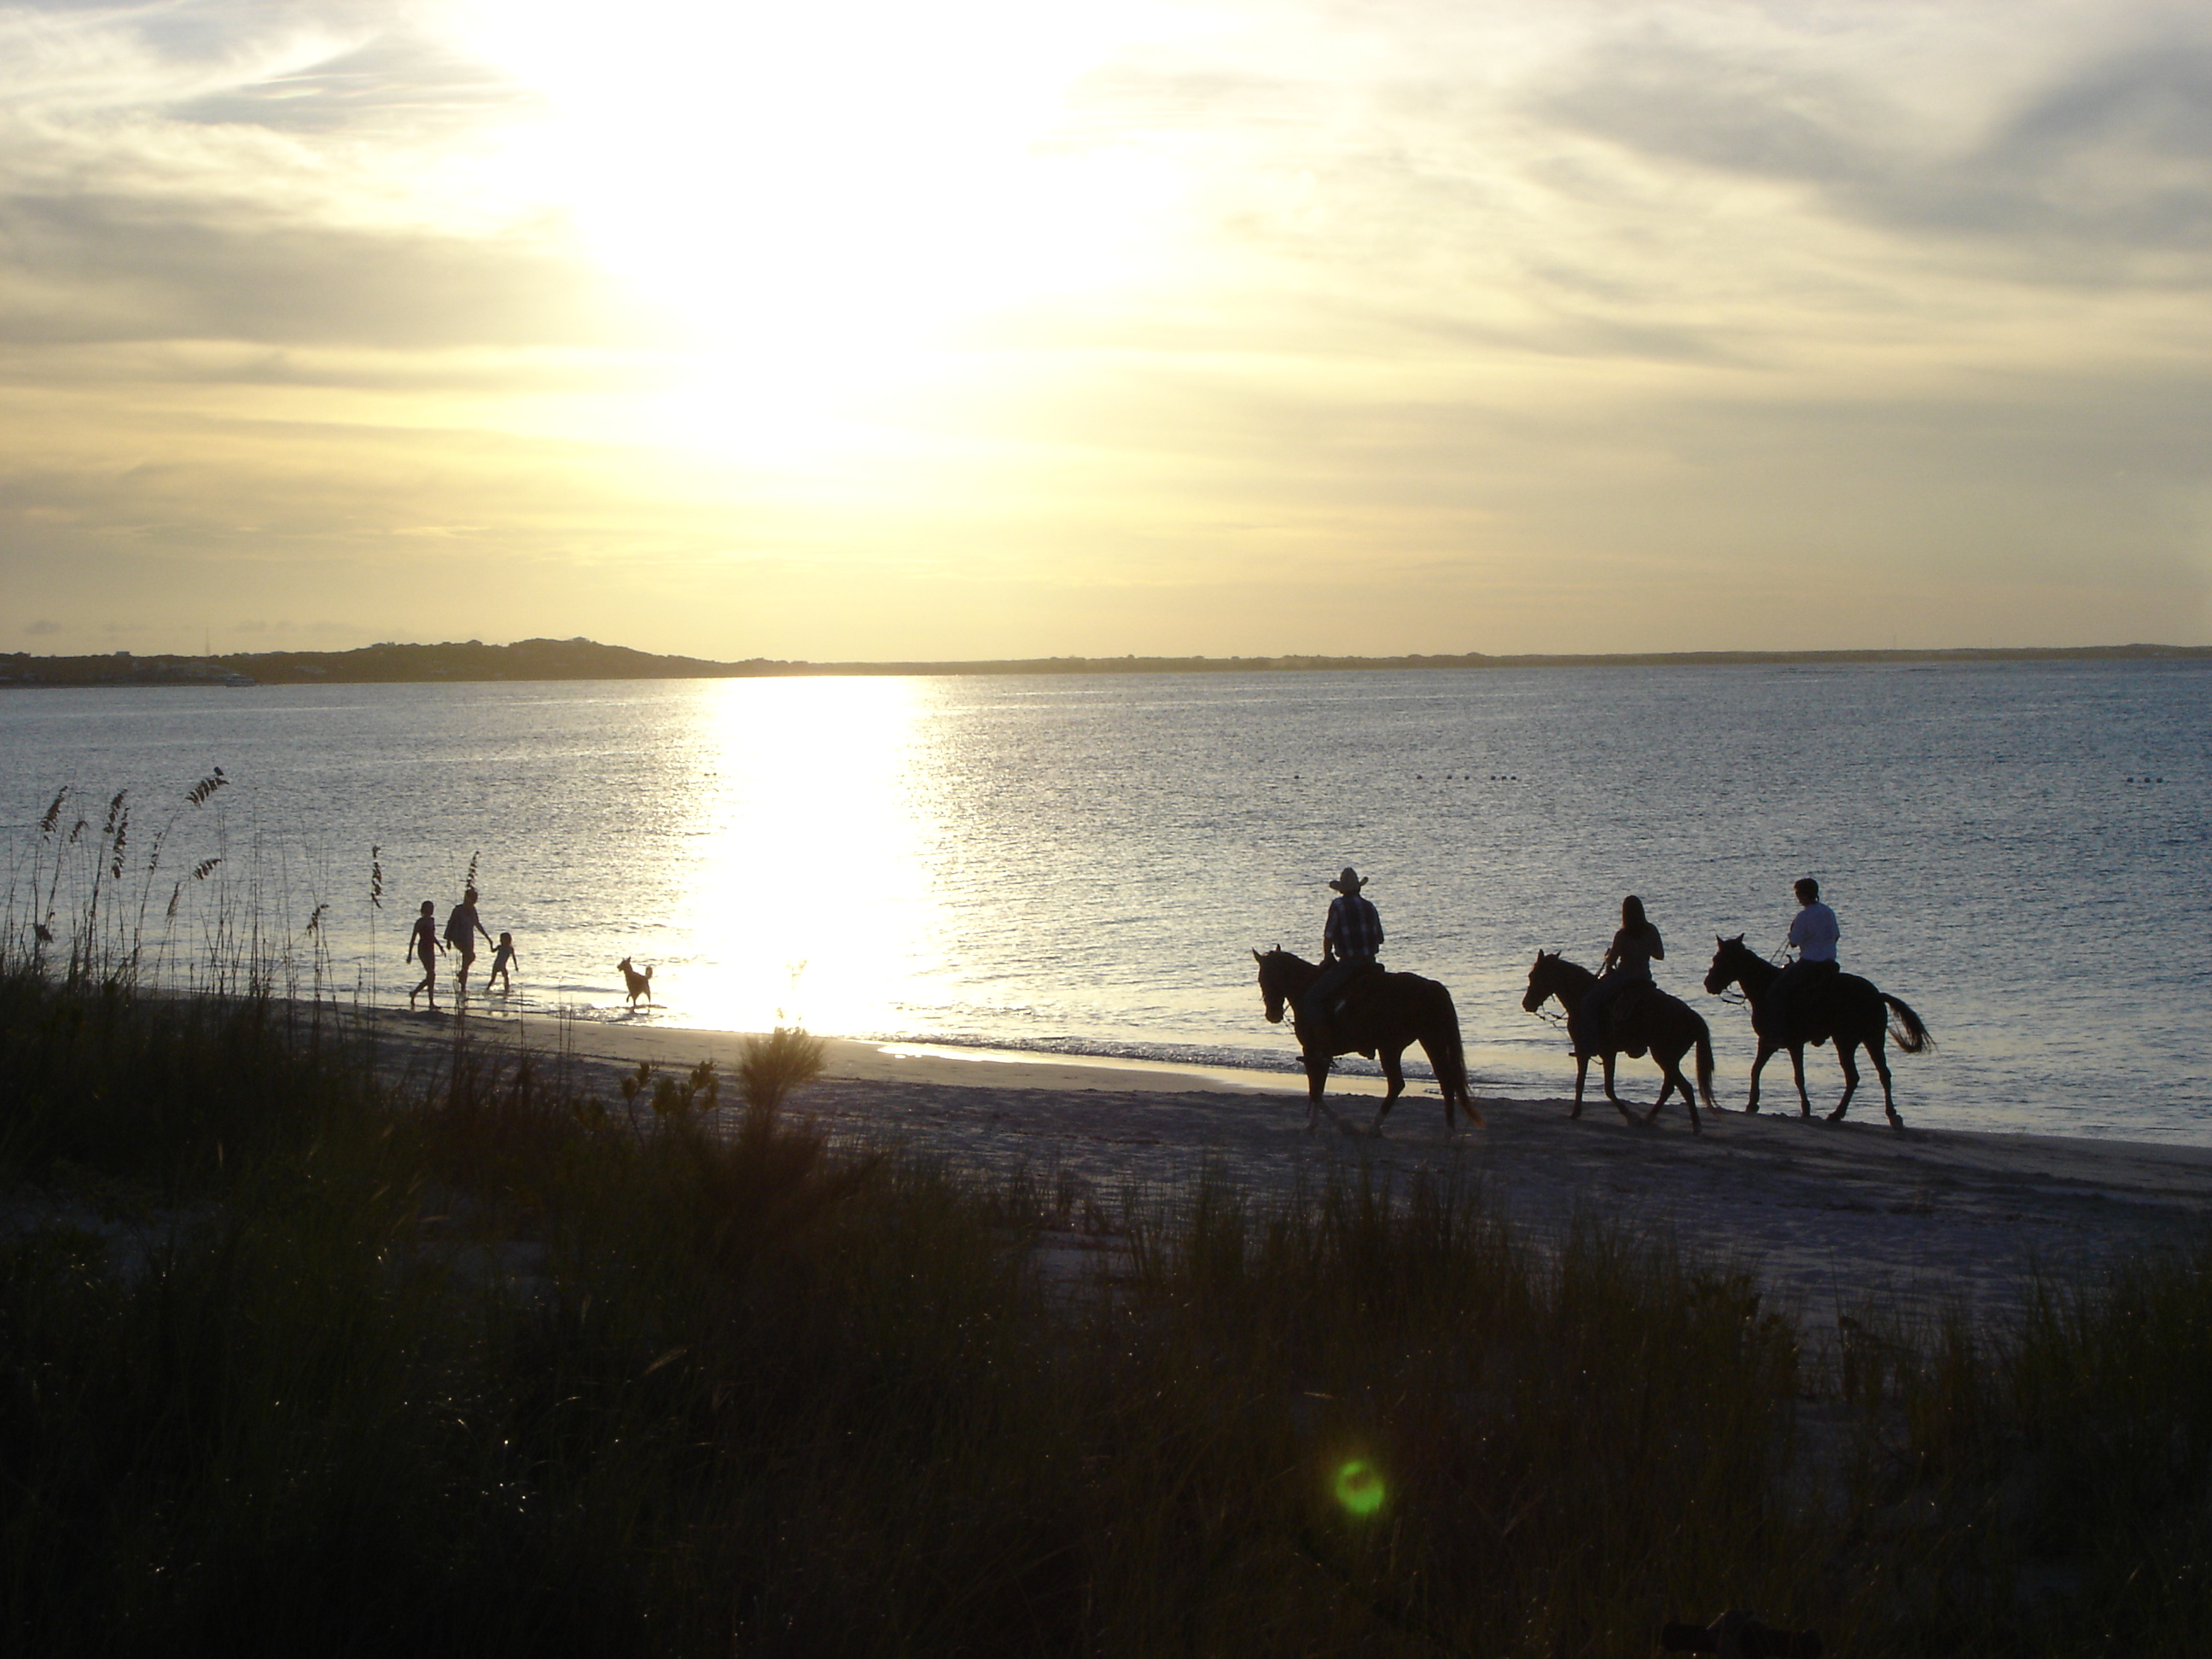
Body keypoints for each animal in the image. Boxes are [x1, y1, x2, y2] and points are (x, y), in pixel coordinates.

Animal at [1256, 955, 1477, 1141]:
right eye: (1261, 980)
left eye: (1267, 978)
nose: (1272, 1014)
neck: (1306, 986)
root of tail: (1431, 987)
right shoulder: (1321, 1054)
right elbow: (1318, 1087)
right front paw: (1313, 1125)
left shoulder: (1311, 1051)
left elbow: (1315, 1091)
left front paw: (1344, 1126)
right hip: (1428, 1041)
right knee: (1444, 1080)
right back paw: (1447, 1131)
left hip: (1394, 1047)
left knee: (1399, 1084)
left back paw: (1375, 1127)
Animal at [1530, 955, 1716, 1141]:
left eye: (1533, 976)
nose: (1527, 1003)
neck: (1581, 995)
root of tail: (1693, 1016)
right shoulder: (1602, 1053)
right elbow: (1589, 1084)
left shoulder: (1595, 1052)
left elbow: (1599, 1086)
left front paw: (1628, 1116)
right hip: (1670, 1059)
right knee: (1670, 1088)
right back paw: (1649, 1120)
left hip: (1664, 1057)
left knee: (1685, 1088)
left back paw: (1695, 1127)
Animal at [1698, 938, 1929, 1132]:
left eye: (1719, 959)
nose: (1708, 984)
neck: (1765, 986)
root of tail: (1877, 995)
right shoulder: (1775, 1043)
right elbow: (1758, 1069)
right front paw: (1754, 1103)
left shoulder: (1782, 1042)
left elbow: (1793, 1076)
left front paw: (1801, 1108)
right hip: (1872, 1040)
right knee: (1882, 1075)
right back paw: (1891, 1116)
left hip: (1846, 1042)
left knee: (1854, 1076)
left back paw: (1837, 1114)